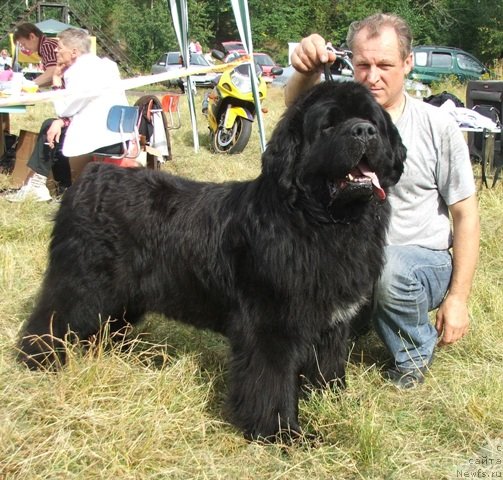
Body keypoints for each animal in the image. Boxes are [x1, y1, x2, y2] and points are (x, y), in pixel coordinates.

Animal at [17, 80, 408, 440]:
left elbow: (327, 366)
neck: (320, 221)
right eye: (328, 125)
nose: (364, 131)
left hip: (122, 294)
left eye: (372, 120)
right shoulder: (271, 323)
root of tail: (90, 178)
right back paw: (38, 359)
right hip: (85, 282)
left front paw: (333, 401)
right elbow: (272, 382)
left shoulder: (331, 323)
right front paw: (281, 433)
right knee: (53, 315)